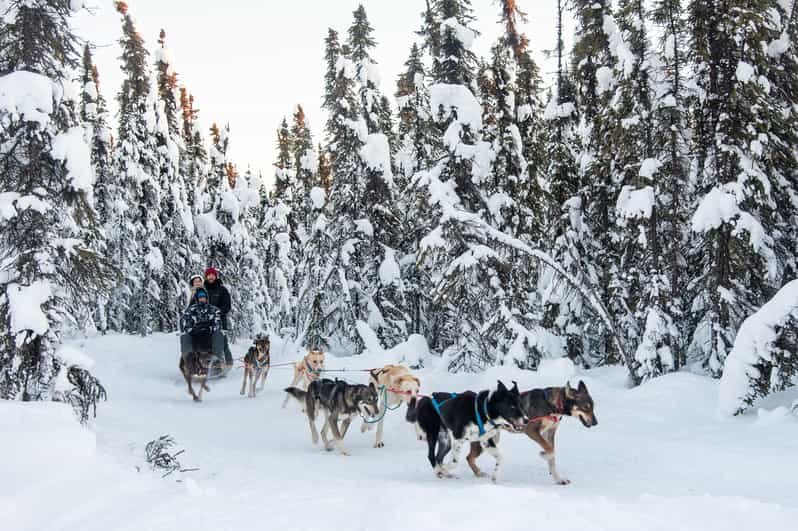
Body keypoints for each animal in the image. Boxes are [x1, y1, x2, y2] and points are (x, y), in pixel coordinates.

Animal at [466, 382, 596, 486]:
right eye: (586, 407)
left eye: (593, 407)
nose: (595, 423)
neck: (552, 405)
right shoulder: (531, 430)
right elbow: (550, 450)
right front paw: (544, 455)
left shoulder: (550, 433)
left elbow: (552, 456)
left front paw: (558, 479)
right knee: (469, 457)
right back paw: (478, 472)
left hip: (491, 439)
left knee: (469, 457)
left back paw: (478, 472)